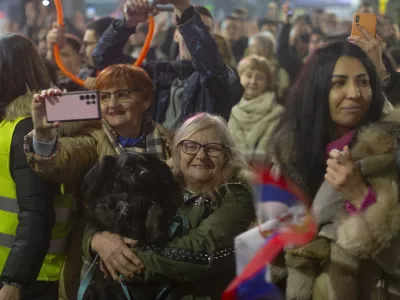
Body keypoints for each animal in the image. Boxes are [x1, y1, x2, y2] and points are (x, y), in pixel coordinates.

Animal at [81, 152, 181, 300]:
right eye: (127, 167)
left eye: (145, 163)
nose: (146, 173)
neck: (133, 192)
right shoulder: (104, 205)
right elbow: (100, 209)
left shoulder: (153, 201)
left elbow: (156, 209)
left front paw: (155, 234)